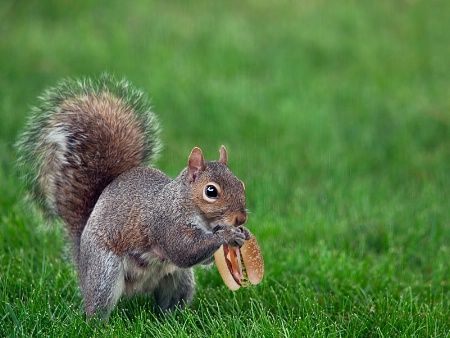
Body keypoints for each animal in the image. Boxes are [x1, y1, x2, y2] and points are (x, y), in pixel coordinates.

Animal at [15, 74, 250, 320]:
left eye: (240, 183)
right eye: (211, 191)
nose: (240, 219)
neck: (186, 203)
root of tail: (81, 263)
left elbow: (200, 259)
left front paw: (240, 233)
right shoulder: (165, 222)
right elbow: (183, 251)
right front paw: (227, 235)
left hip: (179, 279)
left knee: (172, 299)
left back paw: (174, 319)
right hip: (104, 272)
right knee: (97, 305)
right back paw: (99, 323)